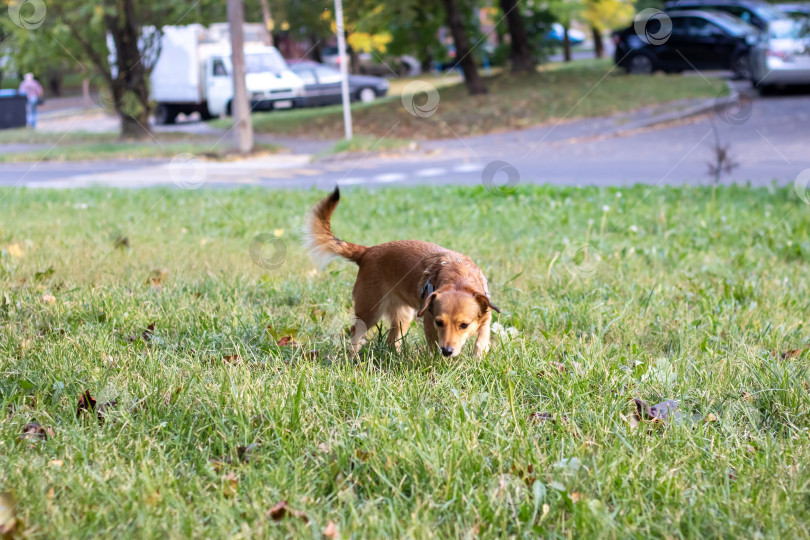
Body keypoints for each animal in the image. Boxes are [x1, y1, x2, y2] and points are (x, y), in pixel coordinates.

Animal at [304, 188, 498, 356]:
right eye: (439, 322)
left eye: (464, 325)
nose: (447, 351)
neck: (459, 279)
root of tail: (368, 251)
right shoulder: (429, 322)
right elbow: (433, 345)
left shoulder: (486, 315)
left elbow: (483, 336)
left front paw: (478, 355)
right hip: (370, 312)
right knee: (355, 332)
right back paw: (353, 357)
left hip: (402, 317)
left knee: (392, 339)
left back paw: (394, 355)